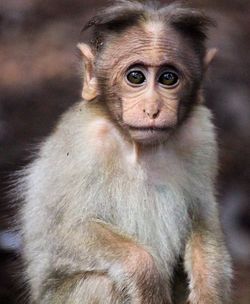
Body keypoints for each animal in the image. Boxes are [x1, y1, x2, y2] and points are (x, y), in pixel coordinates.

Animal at [19, 0, 232, 304]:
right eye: (136, 77)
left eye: (169, 78)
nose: (152, 108)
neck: (139, 148)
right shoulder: (85, 141)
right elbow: (58, 233)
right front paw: (146, 272)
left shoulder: (200, 135)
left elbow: (203, 220)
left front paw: (208, 294)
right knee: (102, 284)